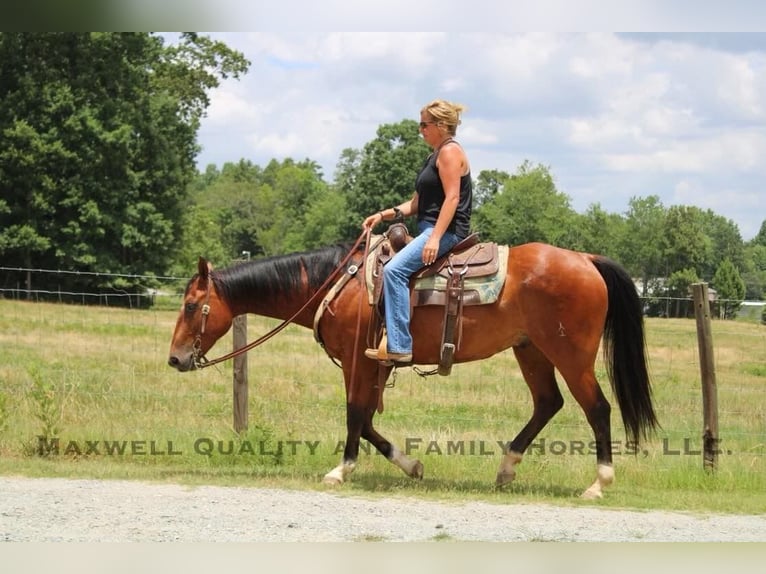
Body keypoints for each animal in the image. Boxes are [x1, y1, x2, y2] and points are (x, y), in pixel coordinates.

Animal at [168, 239, 658, 499]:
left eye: (191, 305)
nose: (174, 358)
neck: (338, 284)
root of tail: (586, 259)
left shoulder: (356, 362)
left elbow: (354, 416)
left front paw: (340, 470)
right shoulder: (376, 365)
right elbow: (367, 420)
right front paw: (411, 465)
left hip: (570, 354)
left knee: (597, 409)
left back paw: (598, 483)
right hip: (531, 350)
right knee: (547, 404)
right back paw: (506, 469)